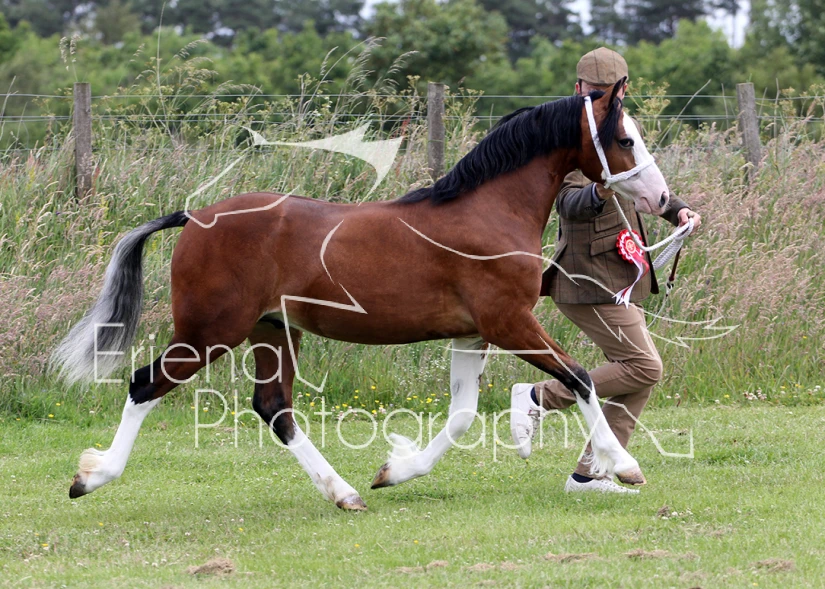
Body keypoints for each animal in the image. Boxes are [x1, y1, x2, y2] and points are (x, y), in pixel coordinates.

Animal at [52, 78, 671, 511]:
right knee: (144, 384)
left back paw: (345, 493)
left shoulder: (473, 334)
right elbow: (581, 378)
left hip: (273, 331)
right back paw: (91, 477)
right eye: (624, 138)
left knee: (274, 409)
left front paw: (394, 471)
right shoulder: (509, 322)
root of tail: (196, 217)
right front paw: (624, 466)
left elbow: (462, 415)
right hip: (210, 333)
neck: (489, 211)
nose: (663, 198)